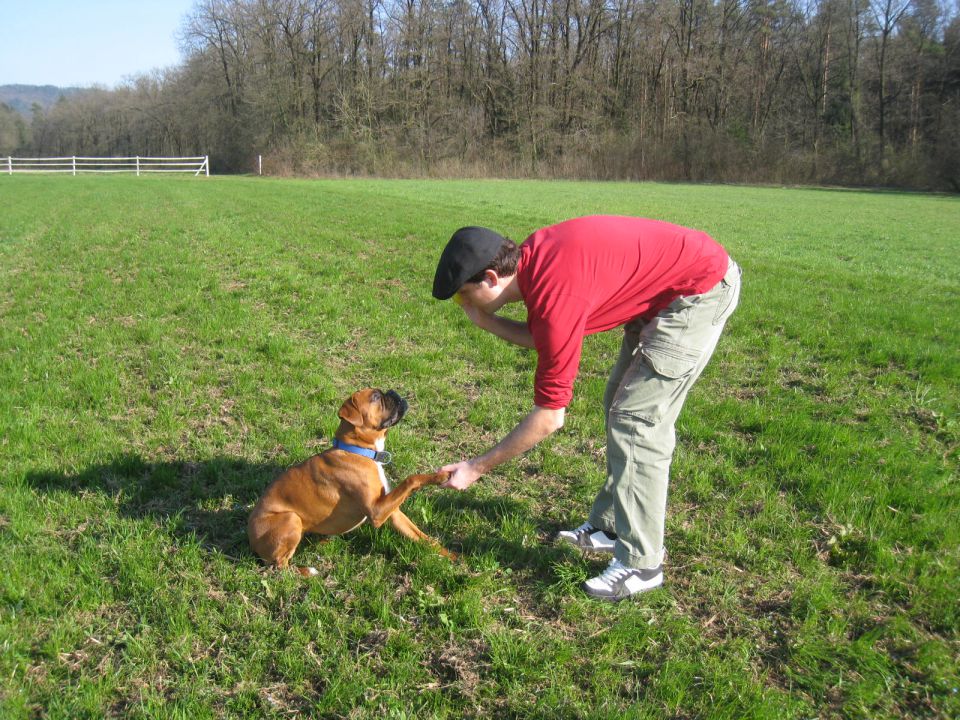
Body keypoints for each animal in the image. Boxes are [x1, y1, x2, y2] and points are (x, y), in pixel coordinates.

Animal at [249, 388, 456, 572]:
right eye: (375, 397)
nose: (393, 392)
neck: (359, 451)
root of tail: (251, 538)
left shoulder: (392, 511)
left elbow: (422, 537)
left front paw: (452, 558)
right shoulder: (377, 511)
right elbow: (411, 479)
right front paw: (441, 476)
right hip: (291, 518)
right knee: (280, 566)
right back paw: (308, 571)